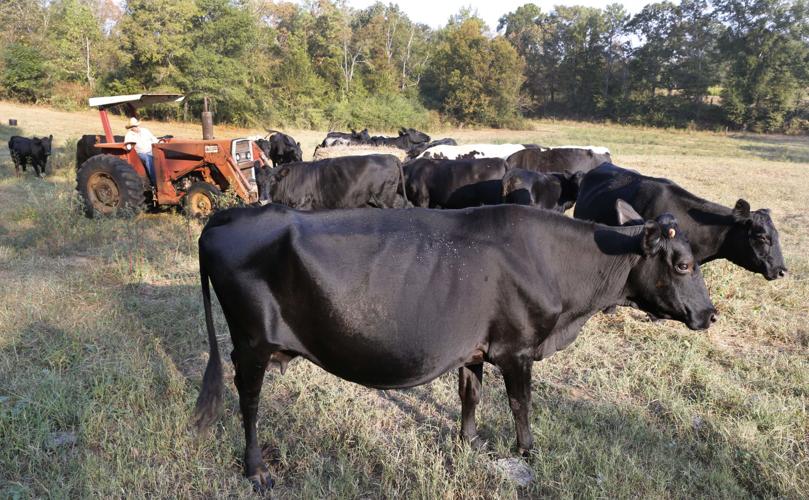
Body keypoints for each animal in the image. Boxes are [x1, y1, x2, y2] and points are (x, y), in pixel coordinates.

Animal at [193, 203, 717, 491]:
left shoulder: (475, 349)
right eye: (684, 264)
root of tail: (229, 215)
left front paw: (468, 445)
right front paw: (528, 454)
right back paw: (256, 470)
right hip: (252, 343)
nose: (711, 314)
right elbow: (520, 404)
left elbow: (471, 396)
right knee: (249, 399)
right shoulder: (516, 349)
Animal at [255, 154, 407, 209]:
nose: (263, 200)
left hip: (384, 199)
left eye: (273, 181)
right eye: (257, 182)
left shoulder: (303, 206)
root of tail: (389, 156)